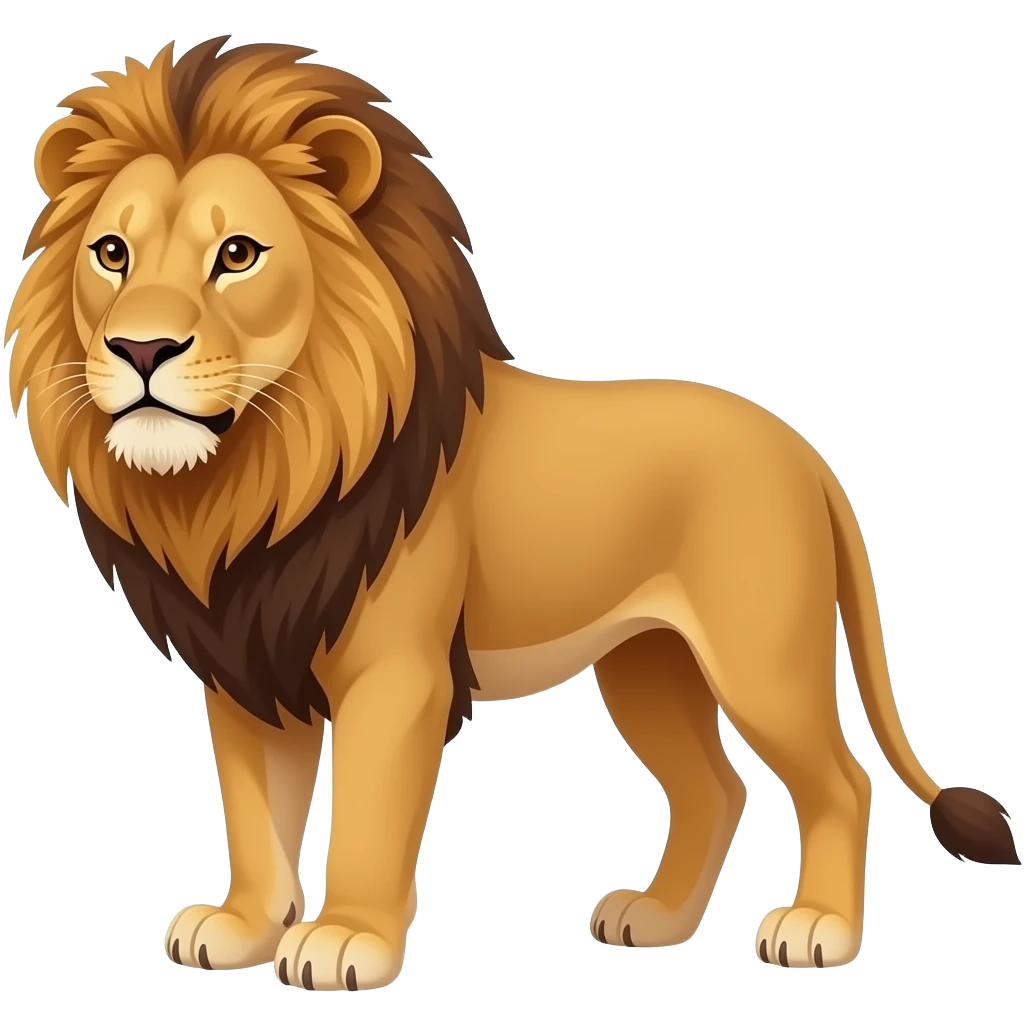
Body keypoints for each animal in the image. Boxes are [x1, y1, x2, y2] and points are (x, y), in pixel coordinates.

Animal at [5, 36, 1019, 990]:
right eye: (112, 254)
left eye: (238, 255)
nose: (141, 348)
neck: (252, 479)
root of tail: (806, 454)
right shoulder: (249, 662)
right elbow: (257, 814)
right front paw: (243, 926)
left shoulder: (396, 674)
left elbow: (366, 815)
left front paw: (345, 941)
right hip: (648, 664)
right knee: (715, 788)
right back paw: (655, 920)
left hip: (761, 659)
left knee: (841, 782)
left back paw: (818, 931)